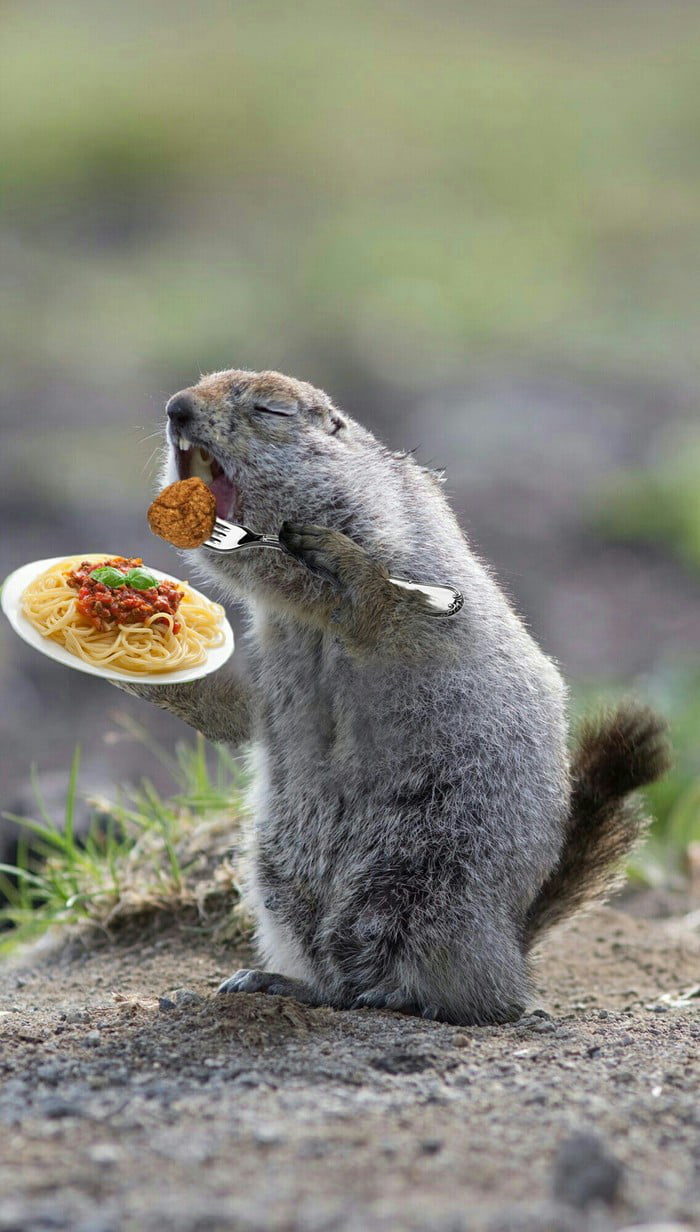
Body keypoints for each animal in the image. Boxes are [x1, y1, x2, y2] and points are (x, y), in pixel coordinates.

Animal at [118, 368, 672, 1025]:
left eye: (271, 410)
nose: (175, 408)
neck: (302, 608)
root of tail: (511, 945)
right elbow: (241, 711)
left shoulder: (413, 558)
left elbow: (406, 612)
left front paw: (349, 567)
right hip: (278, 875)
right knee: (334, 970)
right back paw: (280, 982)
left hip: (427, 879)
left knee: (474, 997)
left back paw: (405, 997)